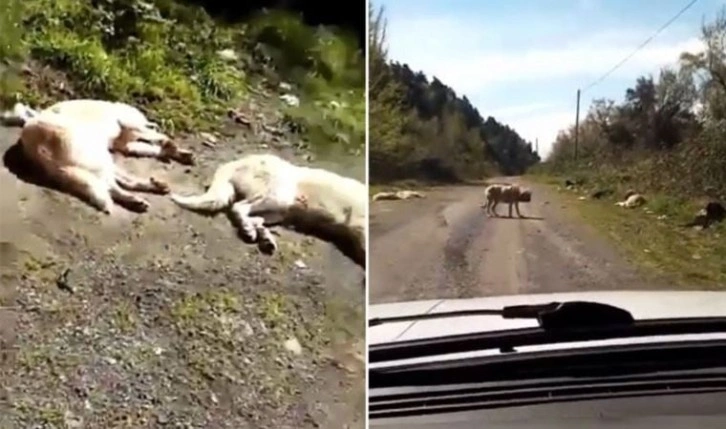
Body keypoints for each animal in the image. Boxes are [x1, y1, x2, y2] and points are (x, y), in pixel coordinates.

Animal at [19, 108, 171, 212]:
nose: (155, 125)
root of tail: (40, 146)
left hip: (93, 161)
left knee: (115, 183)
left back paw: (149, 190)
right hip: (98, 156)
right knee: (112, 185)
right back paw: (139, 197)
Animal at [168, 154, 366, 268]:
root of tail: (237, 162)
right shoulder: (359, 226)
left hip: (279, 210)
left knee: (254, 218)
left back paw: (263, 237)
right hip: (279, 196)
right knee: (239, 207)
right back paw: (255, 233)